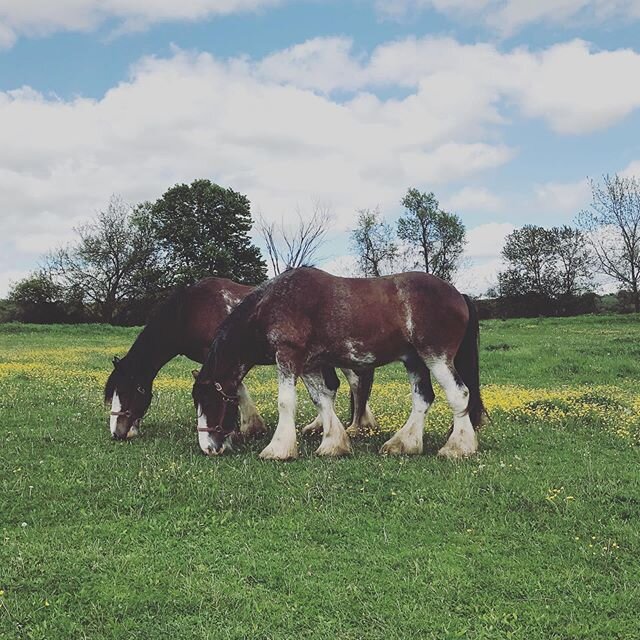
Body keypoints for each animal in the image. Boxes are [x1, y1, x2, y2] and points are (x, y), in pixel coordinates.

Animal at [102, 276, 378, 444]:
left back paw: (354, 426)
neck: (190, 311)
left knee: (352, 384)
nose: (117, 432)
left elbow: (234, 388)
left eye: (128, 391)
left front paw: (241, 428)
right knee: (339, 385)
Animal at [192, 266, 482, 460]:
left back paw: (457, 447)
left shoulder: (287, 356)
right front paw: (333, 444)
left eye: (209, 400)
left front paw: (279, 449)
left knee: (459, 394)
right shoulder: (309, 364)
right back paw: (403, 444)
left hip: (436, 356)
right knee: (423, 398)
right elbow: (321, 400)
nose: (208, 447)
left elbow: (286, 401)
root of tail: (458, 295)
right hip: (415, 360)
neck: (275, 303)